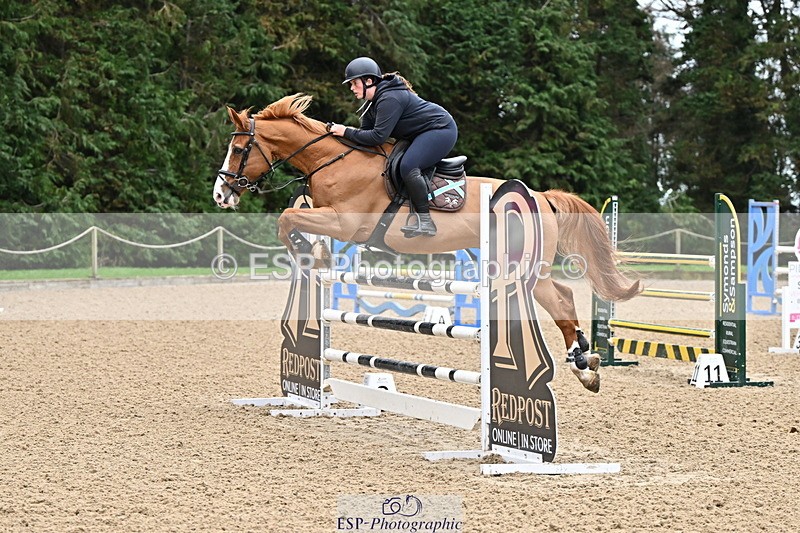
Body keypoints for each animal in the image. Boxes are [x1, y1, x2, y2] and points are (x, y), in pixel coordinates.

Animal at [212, 93, 641, 393]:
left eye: (239, 149)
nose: (221, 195)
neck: (333, 161)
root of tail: (542, 197)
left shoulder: (346, 223)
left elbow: (286, 219)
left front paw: (311, 253)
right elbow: (290, 219)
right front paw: (314, 254)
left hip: (521, 269)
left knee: (561, 300)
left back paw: (582, 364)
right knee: (563, 298)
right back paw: (586, 366)